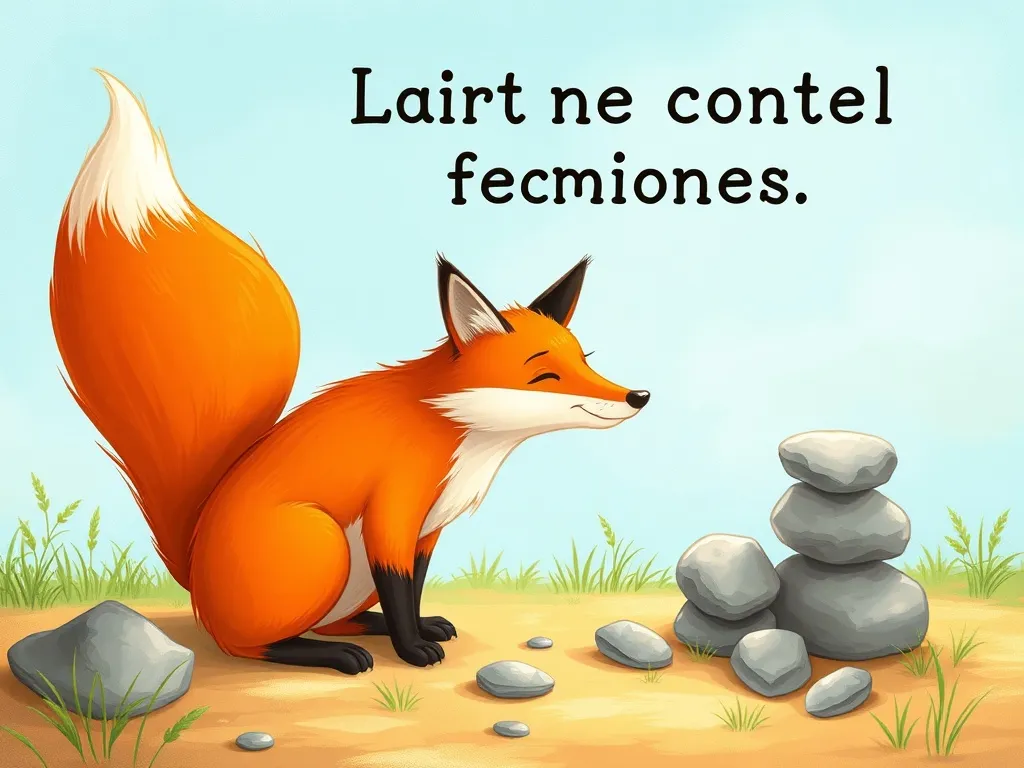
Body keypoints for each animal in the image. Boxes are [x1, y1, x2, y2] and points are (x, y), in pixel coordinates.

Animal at [49, 71, 650, 674]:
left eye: (583, 361)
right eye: (546, 377)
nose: (638, 395)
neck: (456, 431)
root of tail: (194, 577)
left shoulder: (427, 529)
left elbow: (415, 587)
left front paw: (418, 629)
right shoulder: (393, 513)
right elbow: (401, 587)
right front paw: (413, 650)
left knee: (337, 618)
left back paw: (367, 628)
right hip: (325, 544)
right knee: (256, 645)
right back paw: (333, 653)